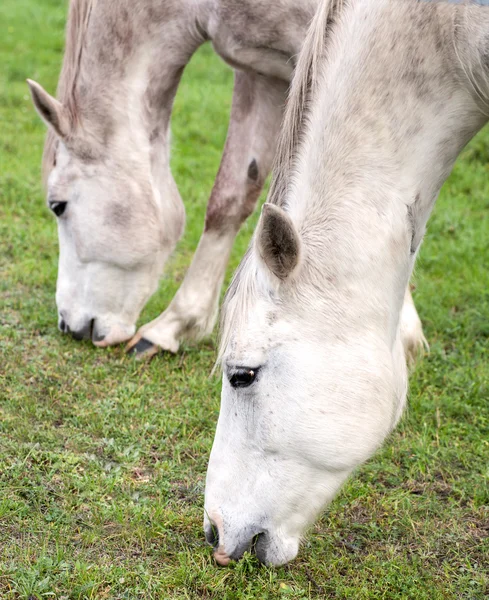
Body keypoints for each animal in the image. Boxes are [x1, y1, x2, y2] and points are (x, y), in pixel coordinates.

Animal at [27, 0, 424, 356]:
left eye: (57, 206)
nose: (70, 326)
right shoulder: (263, 72)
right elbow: (231, 196)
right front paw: (175, 326)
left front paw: (401, 329)